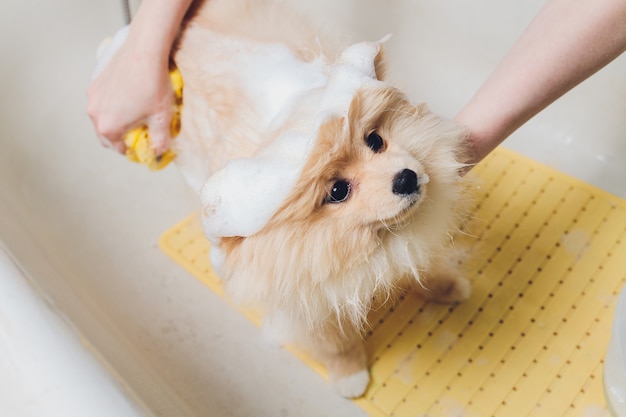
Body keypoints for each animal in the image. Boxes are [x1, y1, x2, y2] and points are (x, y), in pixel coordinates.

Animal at [168, 0, 470, 396]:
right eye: (338, 191)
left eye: (375, 140)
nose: (405, 178)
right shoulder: (308, 297)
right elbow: (334, 344)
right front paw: (350, 375)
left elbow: (426, 264)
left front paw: (447, 286)